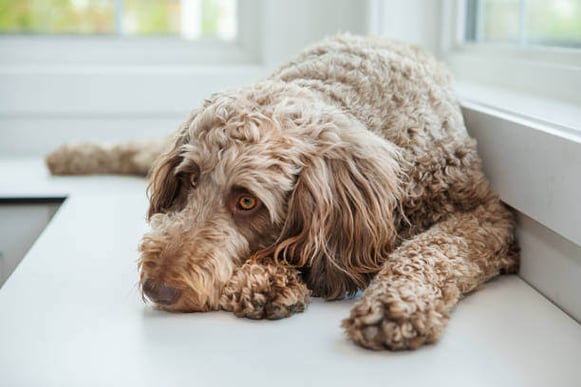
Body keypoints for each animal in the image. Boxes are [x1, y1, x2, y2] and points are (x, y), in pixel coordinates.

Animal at [44, 34, 516, 352]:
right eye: (191, 180)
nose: (157, 288)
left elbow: (429, 251)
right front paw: (266, 279)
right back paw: (70, 155)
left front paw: (397, 306)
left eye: (247, 201)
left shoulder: (486, 215)